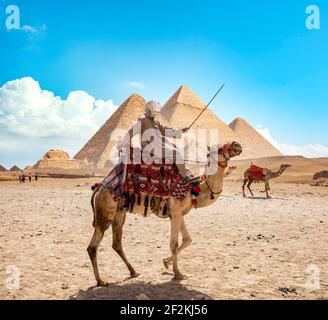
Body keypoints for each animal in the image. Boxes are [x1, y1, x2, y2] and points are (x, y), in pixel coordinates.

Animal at [86, 141, 241, 286]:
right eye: (219, 148)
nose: (236, 144)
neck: (193, 189)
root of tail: (98, 188)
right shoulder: (177, 213)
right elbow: (174, 244)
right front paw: (178, 273)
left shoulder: (178, 214)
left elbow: (187, 240)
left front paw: (166, 262)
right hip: (105, 213)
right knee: (93, 247)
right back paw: (101, 281)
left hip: (119, 214)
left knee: (116, 244)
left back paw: (133, 271)